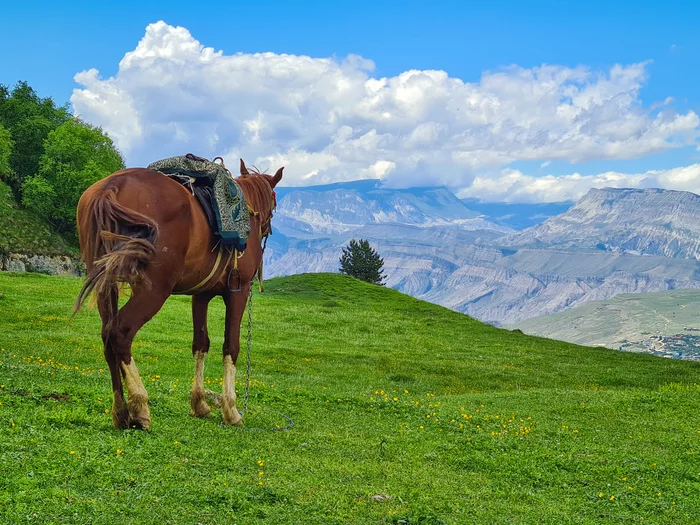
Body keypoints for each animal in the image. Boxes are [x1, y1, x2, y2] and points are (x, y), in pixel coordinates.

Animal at [74, 158, 284, 428]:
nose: (267, 229)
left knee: (107, 337)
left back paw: (120, 412)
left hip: (106, 283)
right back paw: (140, 406)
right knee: (119, 332)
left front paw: (199, 403)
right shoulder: (239, 291)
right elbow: (231, 345)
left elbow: (200, 344)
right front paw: (231, 410)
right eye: (274, 202)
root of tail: (112, 186)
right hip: (155, 289)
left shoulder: (201, 295)